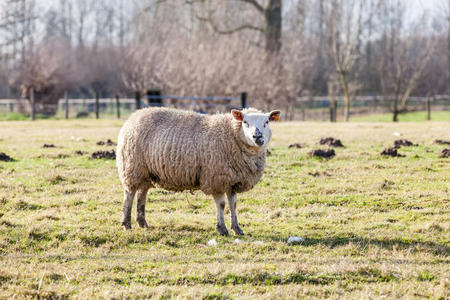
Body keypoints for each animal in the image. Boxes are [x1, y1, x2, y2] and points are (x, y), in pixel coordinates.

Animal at [116, 106, 280, 236]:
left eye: (266, 122)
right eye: (245, 122)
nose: (257, 136)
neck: (231, 135)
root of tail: (134, 115)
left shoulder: (232, 180)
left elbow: (233, 205)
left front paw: (237, 229)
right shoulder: (216, 178)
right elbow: (222, 205)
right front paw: (222, 229)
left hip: (146, 173)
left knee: (141, 194)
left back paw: (142, 222)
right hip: (132, 167)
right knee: (129, 194)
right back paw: (126, 224)